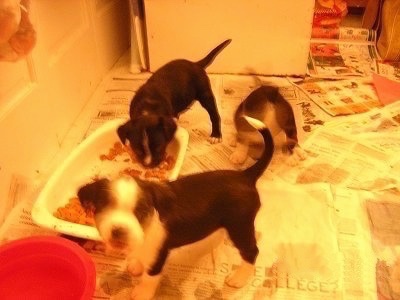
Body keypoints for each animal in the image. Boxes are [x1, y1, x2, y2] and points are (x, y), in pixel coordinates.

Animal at [77, 116, 274, 300]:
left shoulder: (158, 254)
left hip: (240, 226)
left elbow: (149, 276)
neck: (146, 230)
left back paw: (238, 278)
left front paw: (141, 292)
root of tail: (245, 176)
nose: (118, 231)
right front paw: (135, 265)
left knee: (252, 251)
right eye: (104, 206)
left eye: (141, 212)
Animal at [117, 38, 231, 168]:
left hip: (205, 94)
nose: (150, 166)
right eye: (137, 150)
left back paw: (215, 135)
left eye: (159, 148)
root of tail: (195, 64)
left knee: (214, 114)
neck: (147, 110)